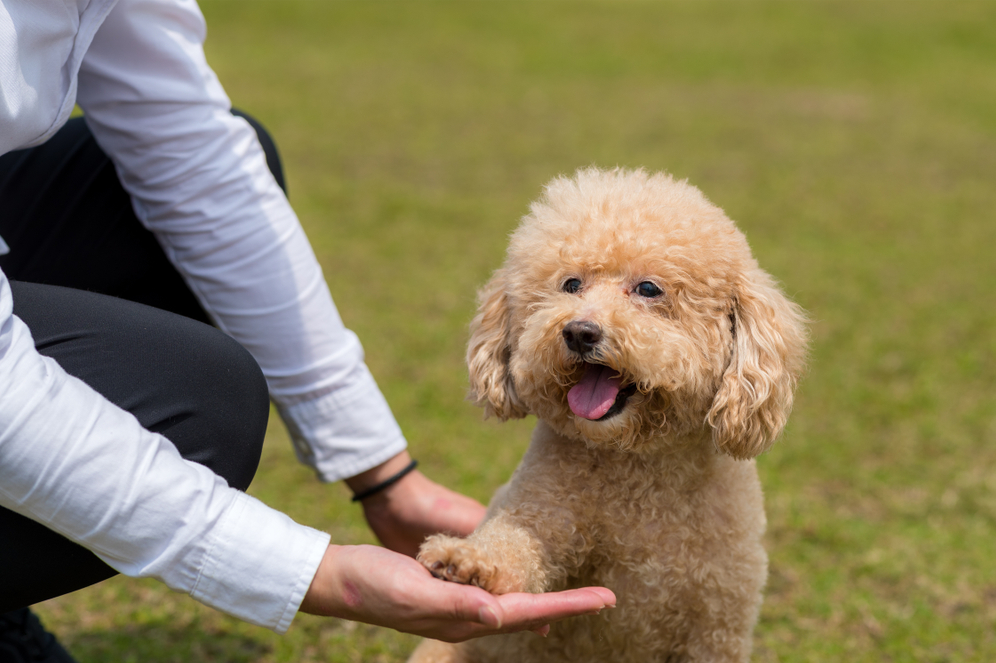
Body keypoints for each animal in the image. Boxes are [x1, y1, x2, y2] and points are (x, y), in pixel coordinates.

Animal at [408, 169, 804, 663]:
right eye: (571, 284)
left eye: (648, 289)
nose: (579, 331)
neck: (637, 466)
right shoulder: (542, 512)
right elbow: (515, 544)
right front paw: (466, 561)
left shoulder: (716, 627)